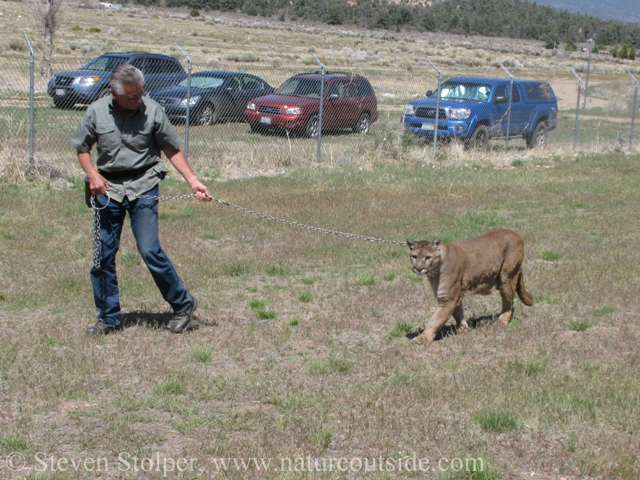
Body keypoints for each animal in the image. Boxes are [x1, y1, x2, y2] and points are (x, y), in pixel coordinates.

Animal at [404, 229, 536, 344]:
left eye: (427, 257)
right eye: (414, 256)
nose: (418, 268)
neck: (435, 272)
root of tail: (517, 235)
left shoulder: (448, 298)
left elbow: (435, 320)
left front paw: (422, 338)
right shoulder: (452, 295)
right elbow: (457, 313)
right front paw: (463, 329)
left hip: (506, 277)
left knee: (509, 303)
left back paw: (501, 321)